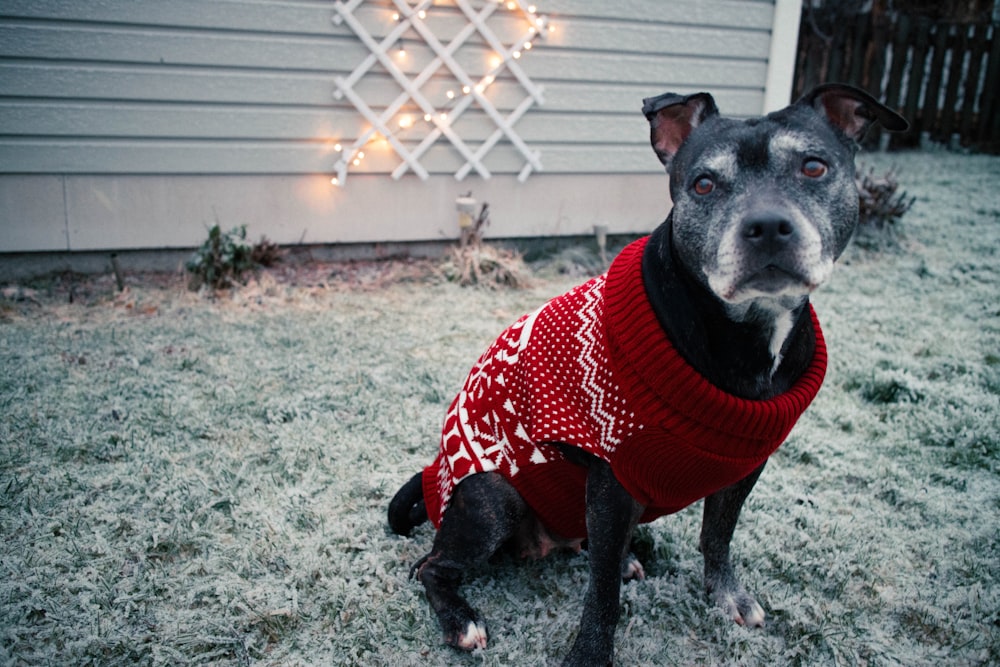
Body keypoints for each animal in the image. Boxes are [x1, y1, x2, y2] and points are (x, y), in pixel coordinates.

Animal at [388, 86, 908, 664]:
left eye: (814, 167)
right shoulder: (614, 479)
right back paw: (462, 620)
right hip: (490, 497)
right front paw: (590, 655)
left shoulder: (744, 466)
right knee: (430, 567)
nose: (768, 226)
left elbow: (717, 536)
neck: (742, 334)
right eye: (704, 183)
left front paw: (726, 595)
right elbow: (602, 594)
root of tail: (434, 476)